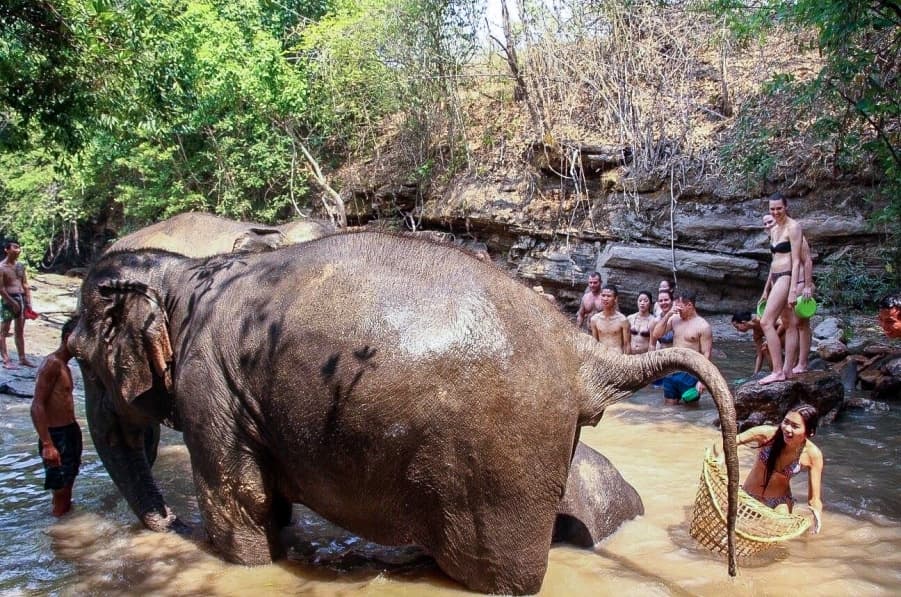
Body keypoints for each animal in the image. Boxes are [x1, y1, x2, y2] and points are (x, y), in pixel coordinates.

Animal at [68, 230, 732, 592]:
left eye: (78, 356)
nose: (168, 525)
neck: (182, 275)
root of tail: (580, 351)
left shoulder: (209, 385)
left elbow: (239, 500)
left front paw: (244, 563)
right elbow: (266, 501)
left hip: (503, 462)